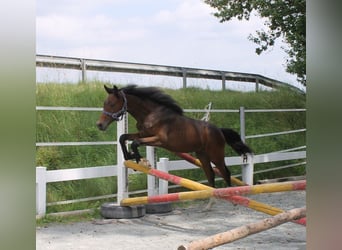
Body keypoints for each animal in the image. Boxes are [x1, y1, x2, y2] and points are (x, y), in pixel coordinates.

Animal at [96, 84, 251, 188]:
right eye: (105, 103)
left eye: (112, 104)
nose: (100, 125)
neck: (150, 114)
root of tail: (219, 130)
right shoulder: (143, 134)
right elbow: (123, 137)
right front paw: (130, 157)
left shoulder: (159, 140)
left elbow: (135, 143)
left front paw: (140, 160)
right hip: (202, 155)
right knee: (211, 174)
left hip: (215, 155)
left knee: (225, 172)